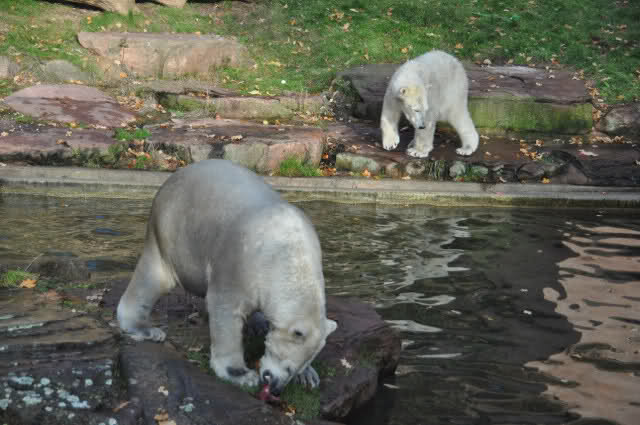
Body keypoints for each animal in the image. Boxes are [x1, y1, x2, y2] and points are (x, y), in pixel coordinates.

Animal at [116, 159, 337, 396]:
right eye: (286, 365)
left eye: (297, 368)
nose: (275, 388)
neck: (288, 254)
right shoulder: (239, 264)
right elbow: (225, 311)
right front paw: (241, 374)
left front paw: (309, 377)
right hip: (171, 233)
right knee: (153, 278)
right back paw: (146, 329)